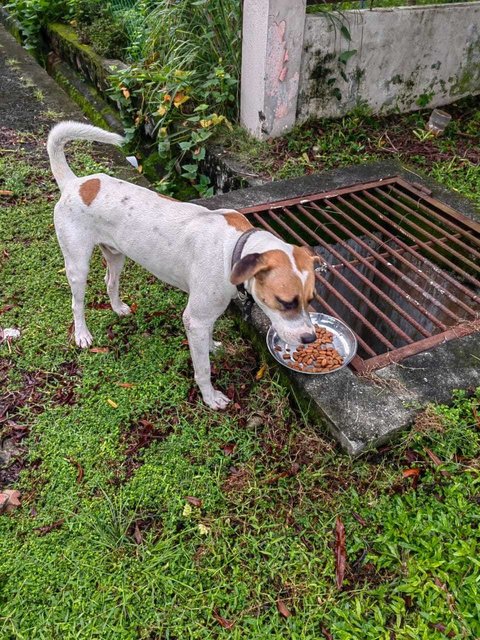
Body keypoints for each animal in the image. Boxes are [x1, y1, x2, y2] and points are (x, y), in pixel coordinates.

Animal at [47, 122, 318, 408]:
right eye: (285, 302)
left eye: (311, 299)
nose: (310, 339)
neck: (234, 248)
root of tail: (74, 183)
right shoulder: (195, 319)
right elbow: (203, 369)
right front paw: (210, 397)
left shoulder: (206, 314)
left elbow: (207, 339)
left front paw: (210, 347)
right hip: (77, 265)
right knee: (77, 303)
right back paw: (82, 334)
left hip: (116, 254)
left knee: (110, 281)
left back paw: (118, 308)